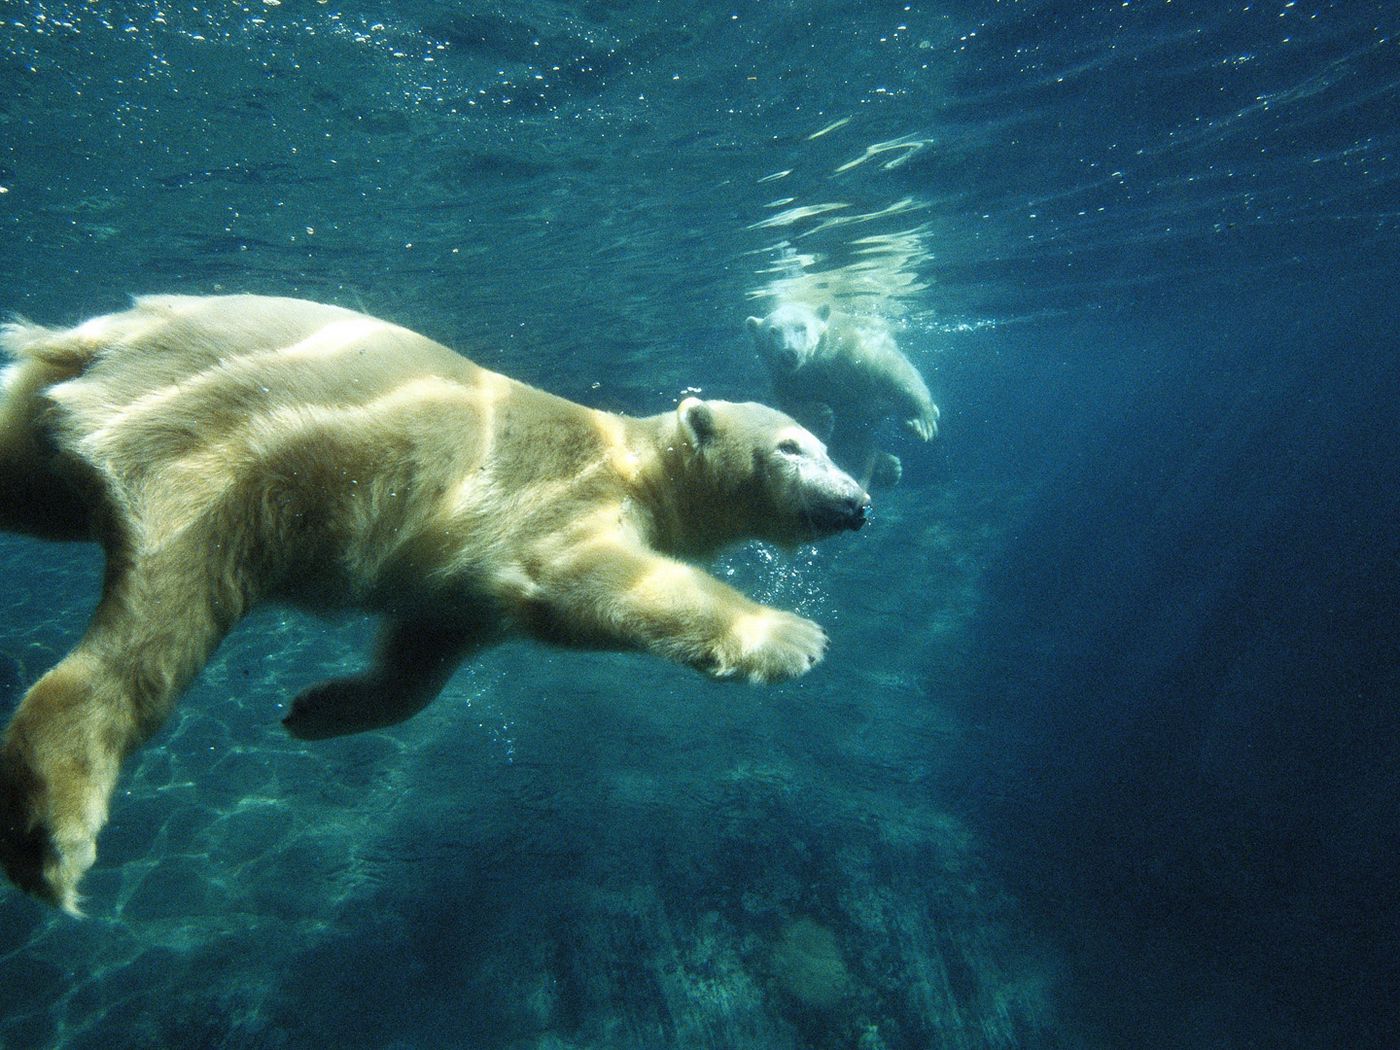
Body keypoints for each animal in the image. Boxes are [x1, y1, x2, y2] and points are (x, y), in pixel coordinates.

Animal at [0, 294, 868, 912]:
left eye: (828, 447)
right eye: (793, 448)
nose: (859, 502)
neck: (633, 459)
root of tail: (105, 337)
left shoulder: (457, 585)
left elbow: (425, 652)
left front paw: (317, 708)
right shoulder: (558, 501)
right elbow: (582, 581)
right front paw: (791, 635)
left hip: (68, 427)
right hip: (217, 449)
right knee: (160, 623)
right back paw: (54, 831)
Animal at [744, 299, 940, 490]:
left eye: (802, 327)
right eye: (773, 331)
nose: (789, 353)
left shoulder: (853, 351)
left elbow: (893, 370)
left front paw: (921, 421)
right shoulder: (787, 380)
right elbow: (791, 408)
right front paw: (822, 415)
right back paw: (889, 467)